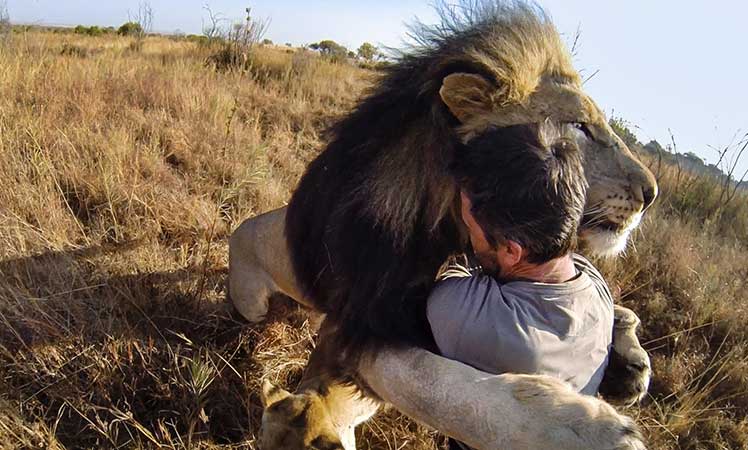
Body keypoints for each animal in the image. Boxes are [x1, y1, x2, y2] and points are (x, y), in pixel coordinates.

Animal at [230, 2, 656, 449]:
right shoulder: (363, 319)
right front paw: (573, 429)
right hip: (253, 303)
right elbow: (435, 384)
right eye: (580, 127)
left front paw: (630, 360)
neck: (445, 221)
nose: (652, 194)